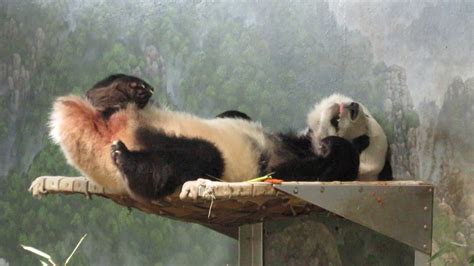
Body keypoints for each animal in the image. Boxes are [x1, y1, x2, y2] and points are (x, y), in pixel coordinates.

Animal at [50, 74, 362, 201]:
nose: (351, 107)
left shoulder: (284, 165)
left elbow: (305, 169)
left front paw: (334, 148)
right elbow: (234, 113)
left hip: (204, 159)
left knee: (184, 164)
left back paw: (127, 159)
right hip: (133, 112)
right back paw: (123, 89)